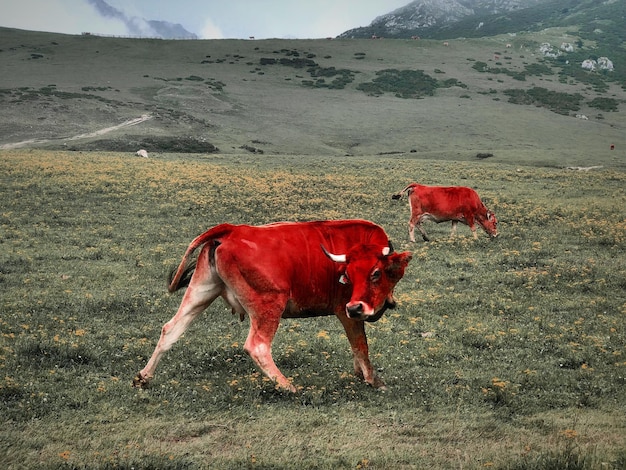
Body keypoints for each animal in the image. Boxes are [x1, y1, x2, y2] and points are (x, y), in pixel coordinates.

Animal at [133, 220, 410, 392]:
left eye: (375, 273)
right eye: (349, 275)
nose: (356, 307)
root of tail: (231, 230)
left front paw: (360, 375)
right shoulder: (345, 311)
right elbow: (361, 346)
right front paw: (374, 380)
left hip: (200, 292)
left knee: (171, 329)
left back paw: (144, 377)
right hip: (269, 306)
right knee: (257, 346)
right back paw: (288, 386)